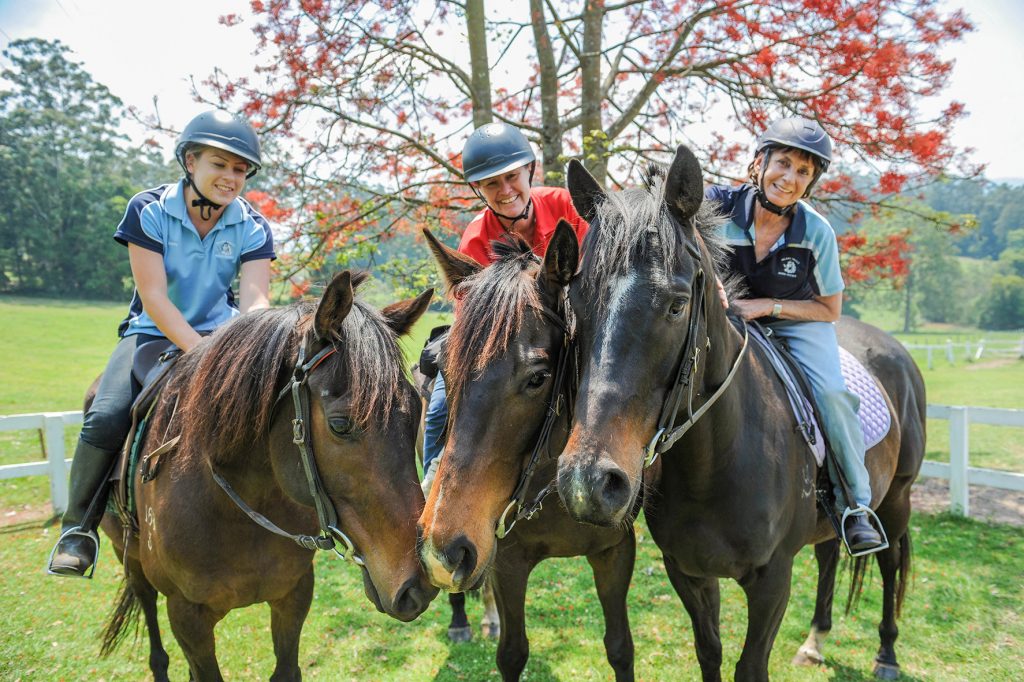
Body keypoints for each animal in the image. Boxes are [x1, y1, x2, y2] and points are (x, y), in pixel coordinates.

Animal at [97, 272, 442, 679]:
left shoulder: (293, 595)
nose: (419, 585)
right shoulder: (186, 616)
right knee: (147, 608)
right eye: (340, 425)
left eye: (416, 411)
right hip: (130, 559)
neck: (236, 510)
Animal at [552, 150, 929, 679]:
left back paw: (887, 653)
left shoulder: (772, 581)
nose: (588, 483)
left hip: (896, 498)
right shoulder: (687, 571)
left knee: (891, 561)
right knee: (830, 553)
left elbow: (750, 667)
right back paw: (816, 640)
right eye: (576, 301)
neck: (718, 460)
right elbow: (709, 651)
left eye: (677, 305)